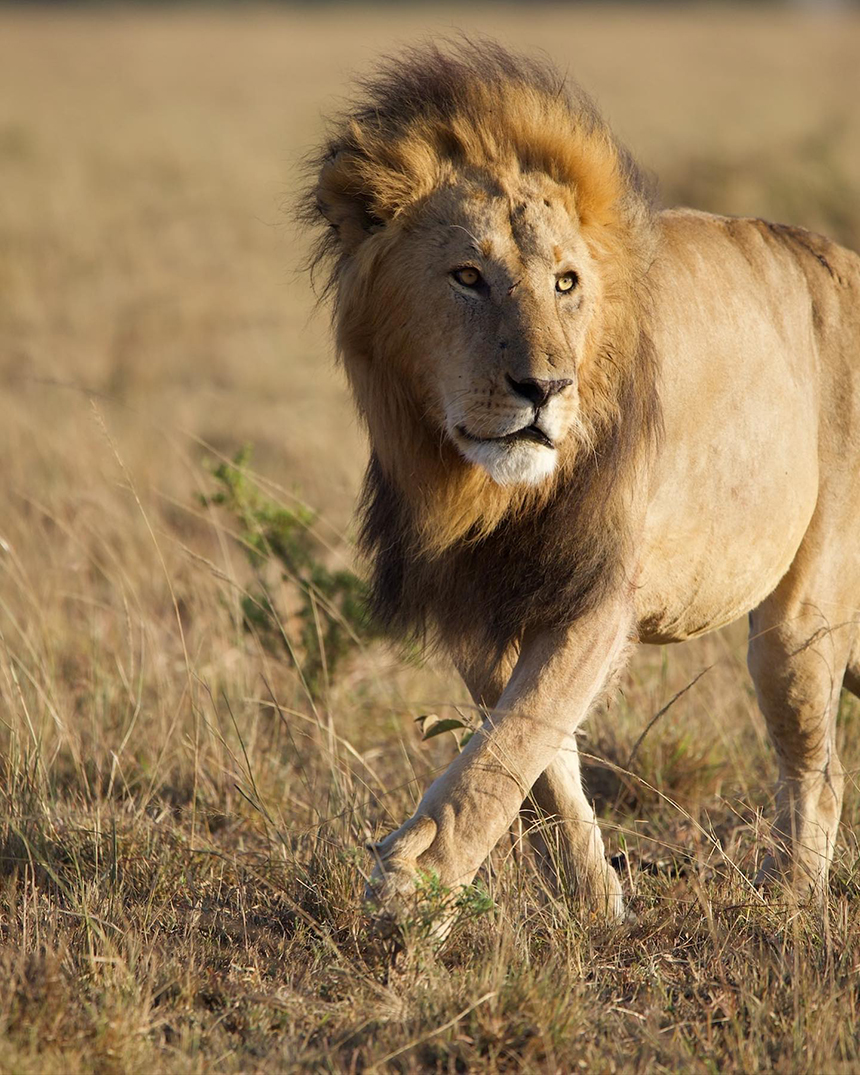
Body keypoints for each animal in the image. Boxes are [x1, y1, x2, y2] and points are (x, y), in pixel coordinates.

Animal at [303, 41, 860, 921]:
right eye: (468, 277)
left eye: (566, 282)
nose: (544, 388)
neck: (485, 490)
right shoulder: (481, 600)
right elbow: (535, 758)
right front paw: (595, 899)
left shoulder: (600, 587)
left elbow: (515, 736)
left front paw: (414, 881)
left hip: (799, 620)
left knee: (820, 766)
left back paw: (785, 901)